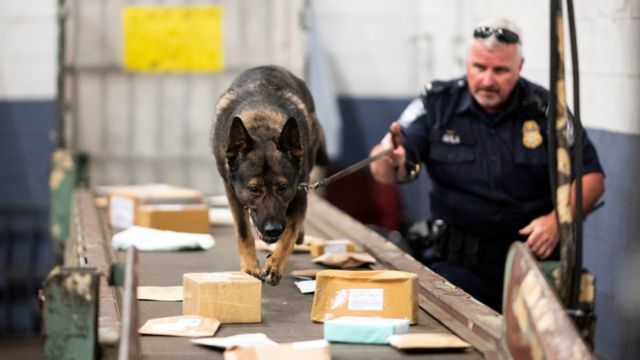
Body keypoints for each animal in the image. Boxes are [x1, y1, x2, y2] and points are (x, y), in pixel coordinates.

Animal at [211, 65, 328, 284]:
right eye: (254, 189)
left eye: (283, 188)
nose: (273, 230)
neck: (262, 126)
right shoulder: (232, 194)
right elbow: (243, 231)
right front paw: (250, 267)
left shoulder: (300, 192)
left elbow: (290, 232)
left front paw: (275, 264)